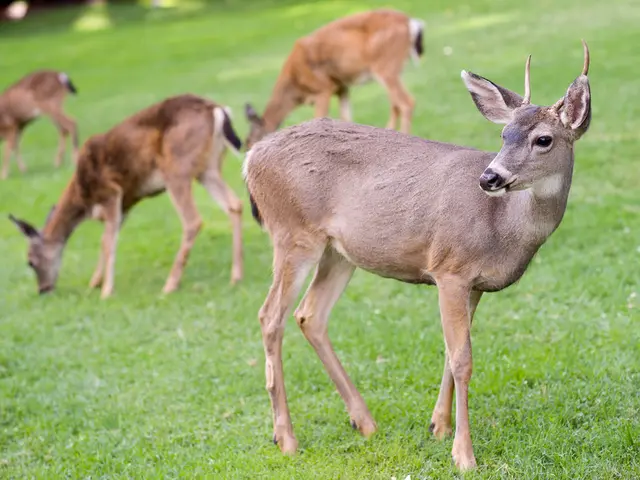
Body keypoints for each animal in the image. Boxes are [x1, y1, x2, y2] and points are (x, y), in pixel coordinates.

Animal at [9, 94, 244, 299]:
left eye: (30, 261)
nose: (43, 290)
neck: (83, 198)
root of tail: (216, 109)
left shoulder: (111, 192)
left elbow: (106, 242)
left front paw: (105, 292)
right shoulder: (126, 204)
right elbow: (108, 239)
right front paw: (95, 283)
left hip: (177, 168)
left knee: (193, 221)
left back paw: (170, 285)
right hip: (208, 169)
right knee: (235, 204)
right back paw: (236, 276)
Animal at [243, 41, 591, 470]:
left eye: (543, 139)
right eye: (503, 134)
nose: (489, 177)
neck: (503, 229)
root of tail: (250, 158)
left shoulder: (473, 283)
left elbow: (450, 353)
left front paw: (438, 427)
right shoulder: (450, 268)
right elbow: (463, 360)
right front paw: (464, 454)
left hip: (338, 252)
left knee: (310, 314)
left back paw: (364, 422)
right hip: (293, 234)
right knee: (269, 316)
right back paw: (287, 438)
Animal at [244, 8, 425, 150]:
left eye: (251, 142)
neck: (296, 86)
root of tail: (411, 22)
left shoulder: (323, 88)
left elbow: (319, 119)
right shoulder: (342, 88)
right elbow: (347, 119)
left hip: (385, 66)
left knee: (407, 102)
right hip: (393, 69)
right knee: (396, 103)